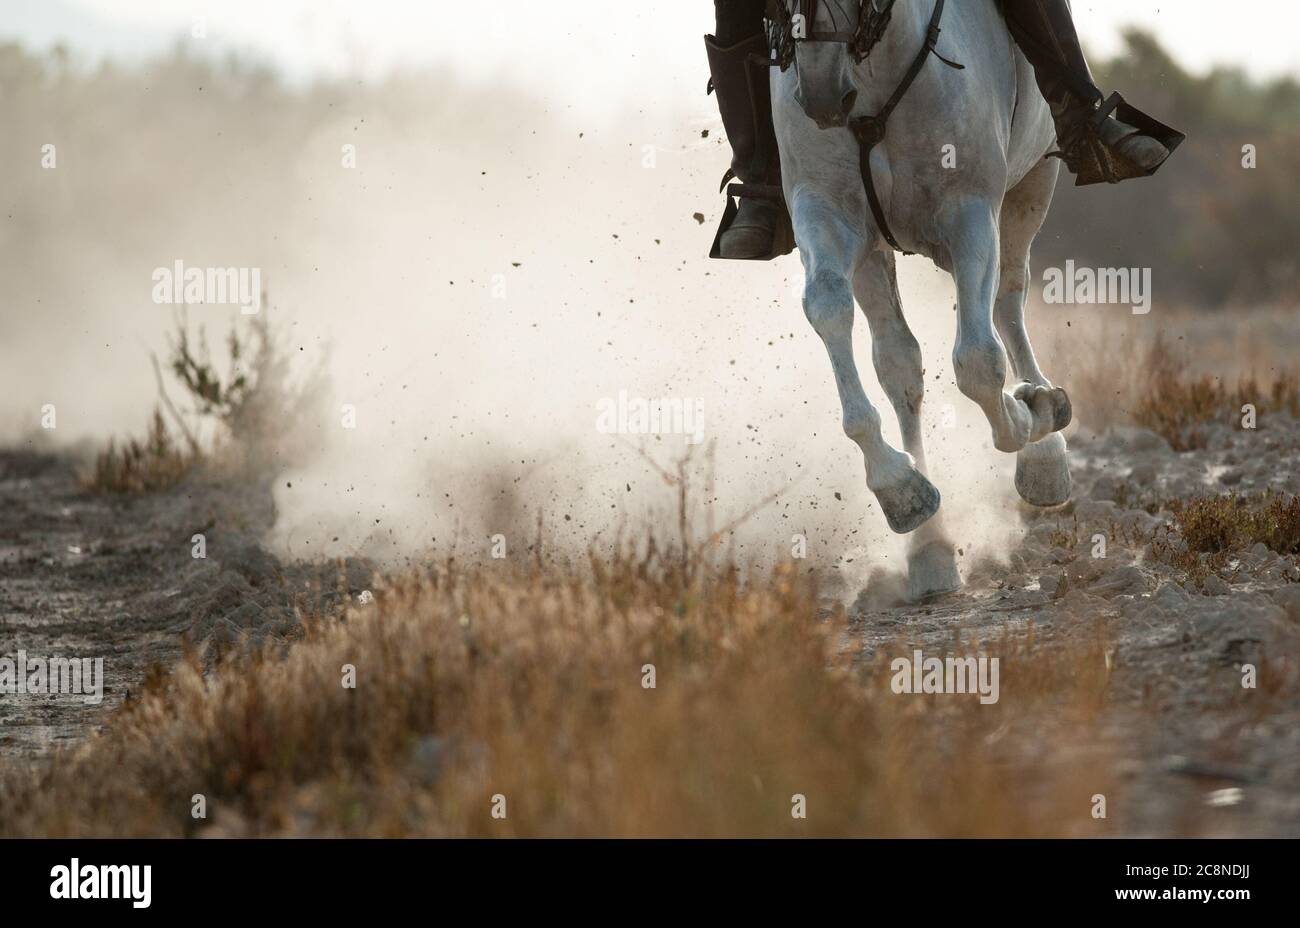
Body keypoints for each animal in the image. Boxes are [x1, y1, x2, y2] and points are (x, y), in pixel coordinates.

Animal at [772, 0, 1073, 599]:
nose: (819, 93)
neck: (873, 75)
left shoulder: (970, 214)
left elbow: (978, 361)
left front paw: (1028, 416)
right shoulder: (829, 215)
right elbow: (828, 309)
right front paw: (898, 487)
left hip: (1034, 181)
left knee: (1008, 300)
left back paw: (1045, 446)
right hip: (876, 253)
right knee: (899, 361)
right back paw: (929, 547)